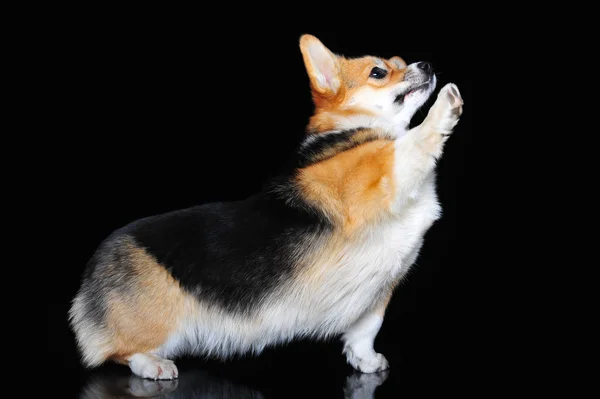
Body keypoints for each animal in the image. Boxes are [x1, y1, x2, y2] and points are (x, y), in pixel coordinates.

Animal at [69, 35, 464, 382]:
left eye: (401, 62)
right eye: (379, 72)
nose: (427, 65)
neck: (353, 131)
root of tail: (90, 278)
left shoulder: (378, 291)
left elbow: (366, 330)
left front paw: (364, 360)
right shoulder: (383, 176)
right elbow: (412, 144)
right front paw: (444, 107)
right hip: (159, 322)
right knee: (117, 352)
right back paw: (152, 364)